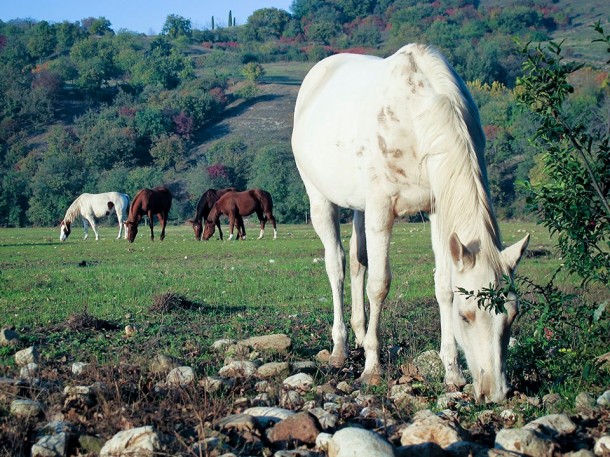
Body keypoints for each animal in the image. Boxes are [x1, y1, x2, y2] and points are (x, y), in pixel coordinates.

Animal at [290, 43, 528, 402]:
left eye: (512, 315)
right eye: (466, 316)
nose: (496, 392)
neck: (418, 120)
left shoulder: (437, 209)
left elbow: (442, 285)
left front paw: (452, 372)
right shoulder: (380, 209)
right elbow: (379, 284)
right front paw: (372, 369)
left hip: (359, 206)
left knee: (357, 260)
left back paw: (360, 334)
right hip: (319, 197)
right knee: (337, 265)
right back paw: (340, 348)